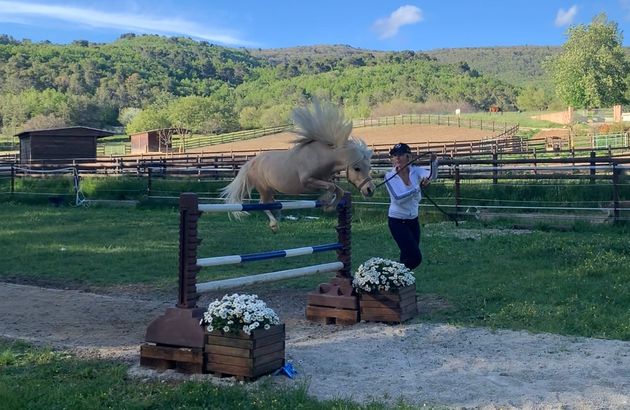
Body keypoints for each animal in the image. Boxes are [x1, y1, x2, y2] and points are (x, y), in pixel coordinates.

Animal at [222, 97, 376, 229]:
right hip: (263, 188)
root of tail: (252, 162)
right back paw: (274, 225)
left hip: (270, 189)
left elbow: (339, 190)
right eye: (356, 168)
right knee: (263, 204)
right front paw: (325, 202)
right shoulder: (308, 181)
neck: (321, 156)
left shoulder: (323, 180)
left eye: (369, 167)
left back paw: (278, 217)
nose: (370, 190)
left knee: (271, 203)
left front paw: (329, 207)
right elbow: (332, 188)